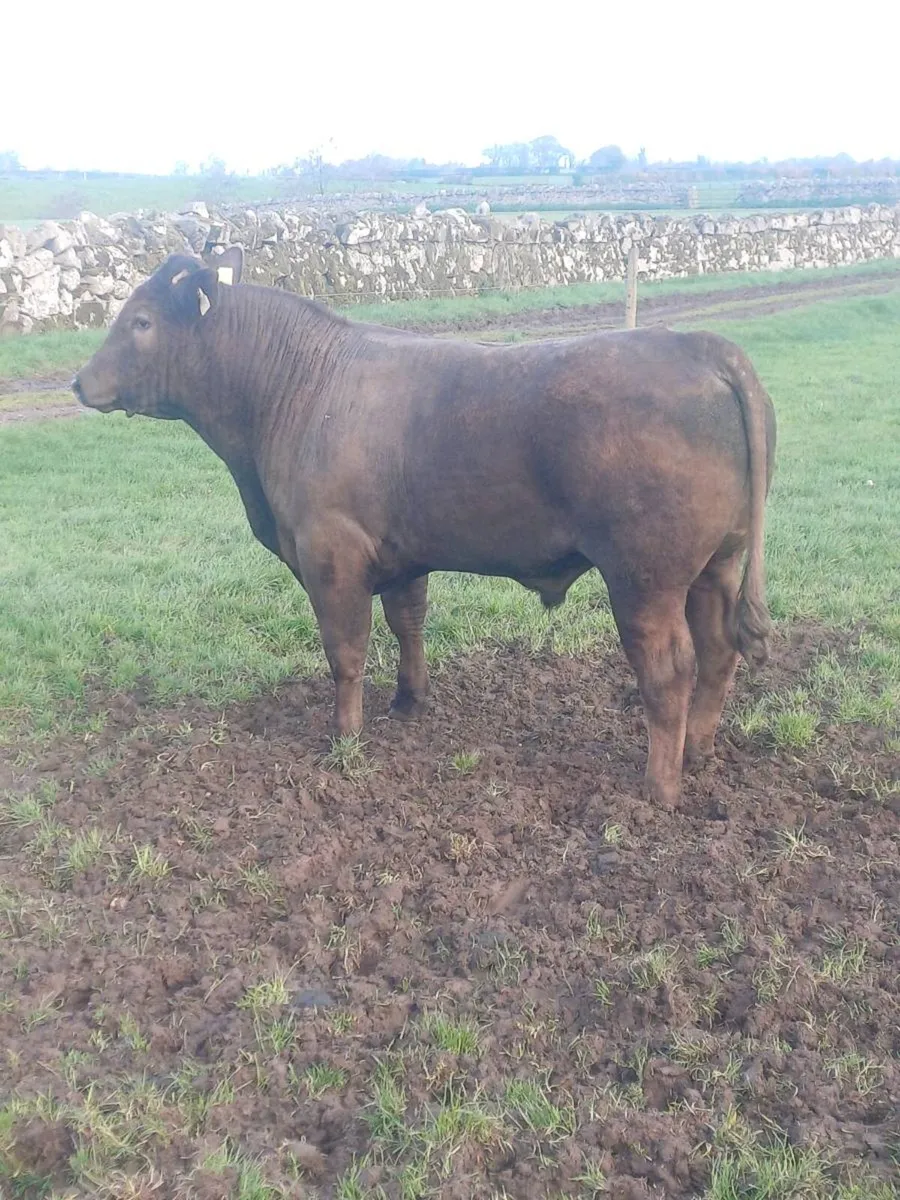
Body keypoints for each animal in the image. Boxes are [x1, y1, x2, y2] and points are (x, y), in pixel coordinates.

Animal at [73, 247, 777, 810]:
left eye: (141, 321)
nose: (79, 382)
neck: (295, 387)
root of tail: (696, 344)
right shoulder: (400, 554)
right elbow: (407, 623)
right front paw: (409, 703)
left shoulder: (331, 553)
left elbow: (346, 650)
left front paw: (344, 737)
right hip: (716, 565)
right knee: (719, 650)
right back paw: (698, 751)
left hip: (643, 579)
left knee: (669, 670)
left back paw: (658, 787)